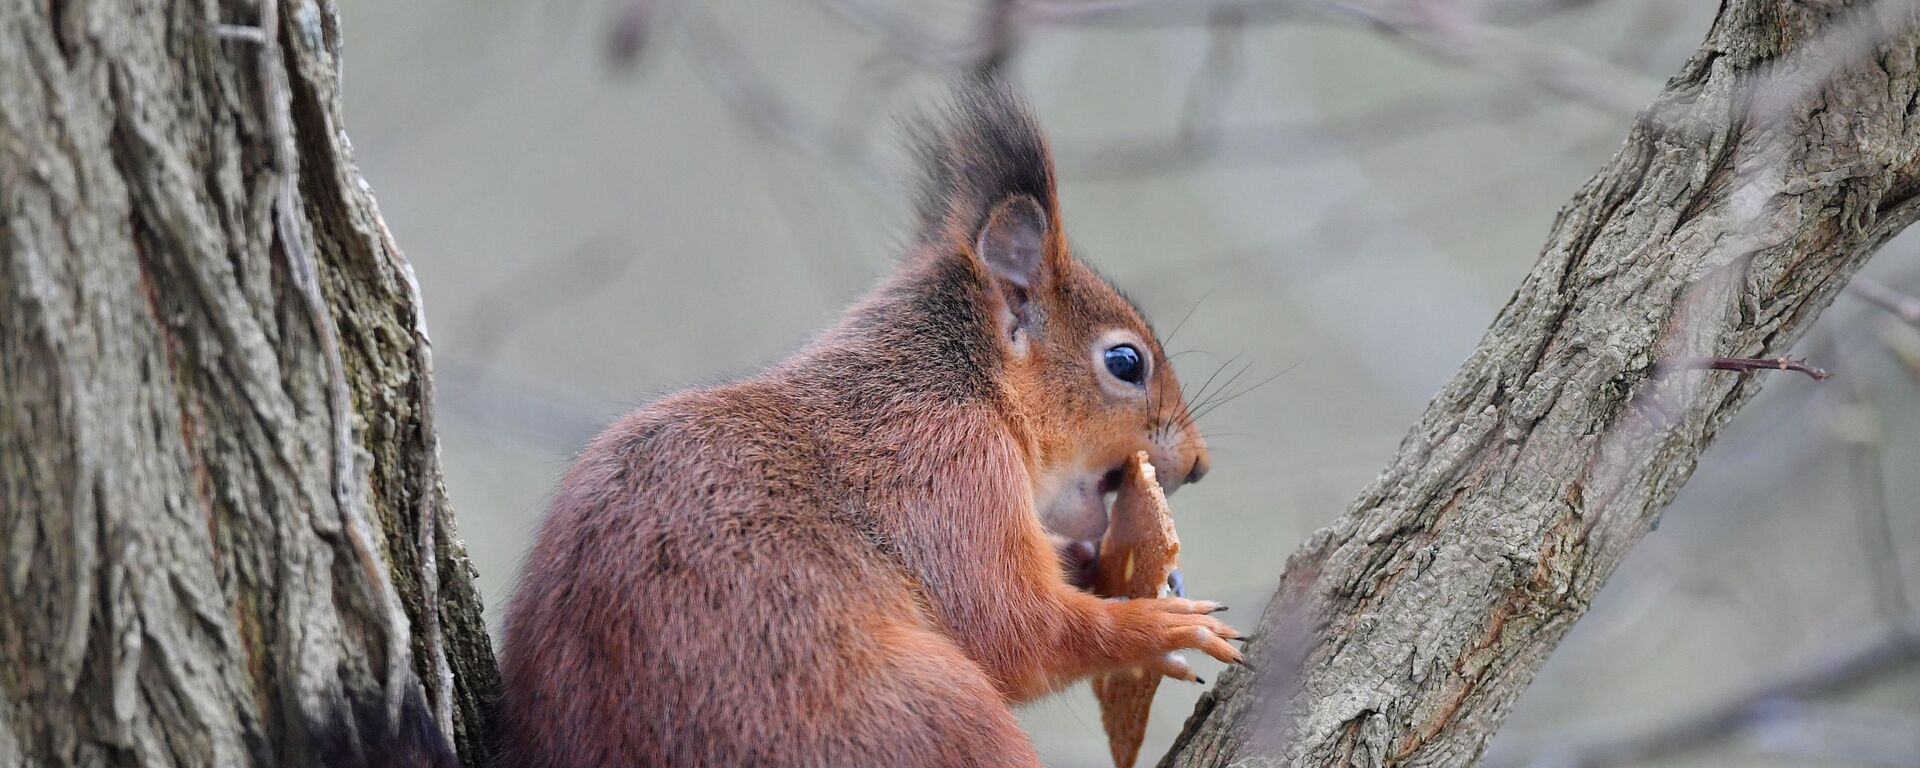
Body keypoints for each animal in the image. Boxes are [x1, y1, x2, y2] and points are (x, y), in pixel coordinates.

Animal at [495, 79, 1236, 768]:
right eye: (1125, 362)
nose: (1199, 463)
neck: (954, 383)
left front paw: (1099, 564)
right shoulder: (948, 469)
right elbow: (1014, 630)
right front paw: (1160, 627)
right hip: (931, 716)